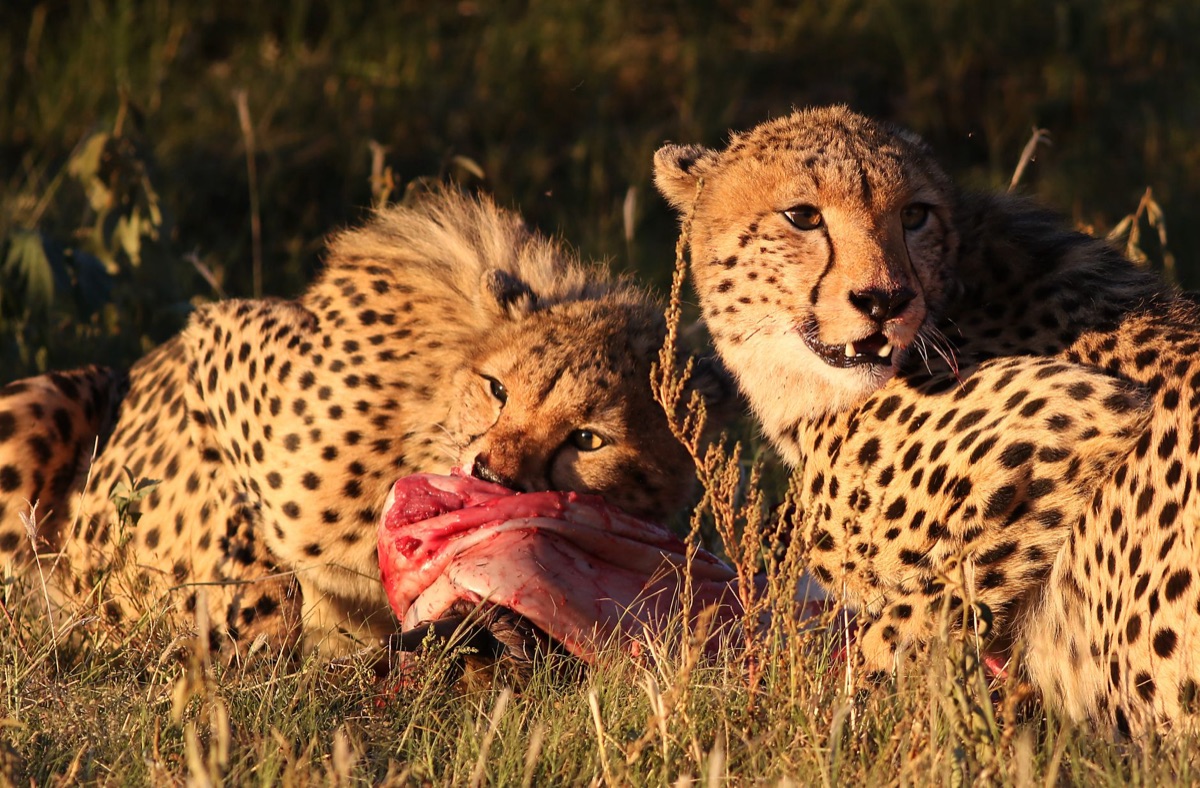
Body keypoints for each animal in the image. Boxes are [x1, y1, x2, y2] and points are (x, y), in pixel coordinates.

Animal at [0, 186, 729, 661]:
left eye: (587, 439)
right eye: (497, 390)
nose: (488, 473)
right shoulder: (215, 337)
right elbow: (258, 549)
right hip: (44, 400)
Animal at [655, 104, 1200, 736]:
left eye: (913, 215)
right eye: (802, 216)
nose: (884, 300)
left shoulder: (1083, 415)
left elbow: (904, 625)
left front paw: (842, 722)